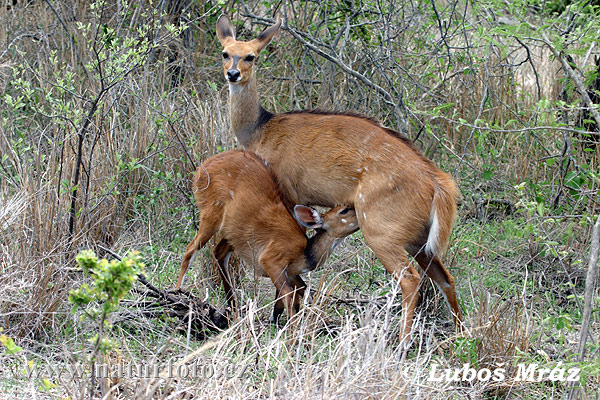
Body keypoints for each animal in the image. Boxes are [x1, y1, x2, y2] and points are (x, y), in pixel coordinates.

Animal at [176, 150, 358, 324]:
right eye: (344, 210)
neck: (305, 253)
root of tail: (202, 167)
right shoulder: (271, 261)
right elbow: (289, 296)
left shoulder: (291, 272)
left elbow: (305, 292)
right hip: (212, 215)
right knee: (191, 249)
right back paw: (178, 292)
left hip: (233, 233)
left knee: (218, 252)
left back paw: (234, 308)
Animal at [216, 16, 464, 346]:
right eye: (225, 52)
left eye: (251, 56)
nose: (233, 74)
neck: (261, 129)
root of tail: (438, 183)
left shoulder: (287, 193)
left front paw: (280, 318)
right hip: (419, 240)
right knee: (445, 278)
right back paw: (461, 336)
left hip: (381, 234)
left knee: (411, 280)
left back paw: (401, 343)